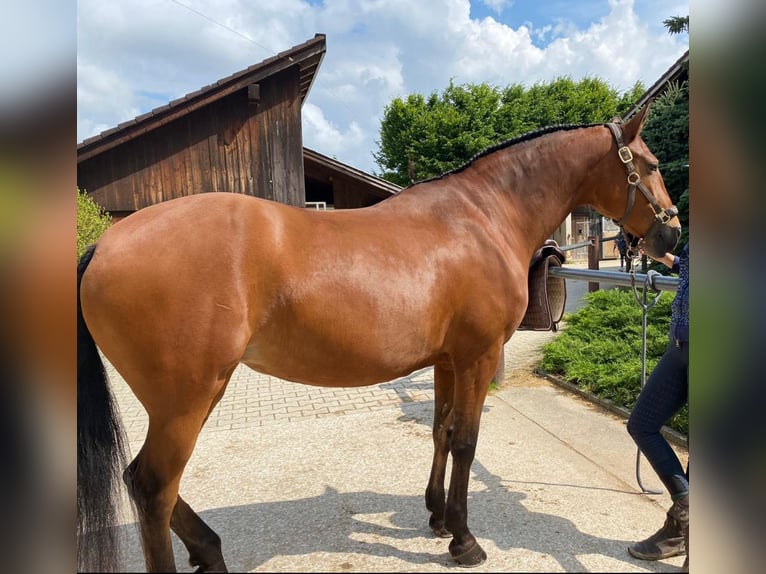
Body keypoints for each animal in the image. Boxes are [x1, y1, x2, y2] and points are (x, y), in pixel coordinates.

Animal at [76, 107, 680, 572]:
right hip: (187, 398)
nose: (672, 233)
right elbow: (466, 440)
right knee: (152, 488)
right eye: (650, 165)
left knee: (145, 482)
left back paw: (210, 549)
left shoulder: (446, 360)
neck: (483, 217)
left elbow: (441, 432)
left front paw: (438, 517)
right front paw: (465, 540)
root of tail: (103, 244)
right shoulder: (478, 356)